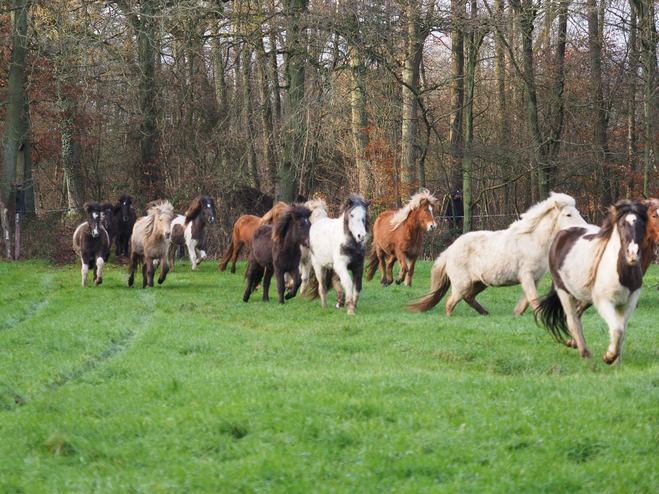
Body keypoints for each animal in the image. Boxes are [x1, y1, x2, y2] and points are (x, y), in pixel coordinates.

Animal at [408, 193, 588, 316]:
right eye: (568, 214)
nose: (585, 228)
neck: (533, 241)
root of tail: (449, 250)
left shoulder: (535, 279)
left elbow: (526, 302)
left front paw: (517, 314)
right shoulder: (527, 276)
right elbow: (534, 300)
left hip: (480, 283)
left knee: (468, 297)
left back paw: (485, 314)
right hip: (462, 284)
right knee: (450, 302)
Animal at [536, 199, 648, 364]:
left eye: (641, 225)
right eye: (622, 224)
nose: (633, 253)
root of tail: (563, 232)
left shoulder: (629, 304)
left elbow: (622, 331)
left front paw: (617, 362)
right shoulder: (604, 303)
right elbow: (617, 329)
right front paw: (609, 357)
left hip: (585, 296)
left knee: (577, 313)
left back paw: (573, 343)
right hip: (564, 291)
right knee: (572, 320)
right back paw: (585, 354)